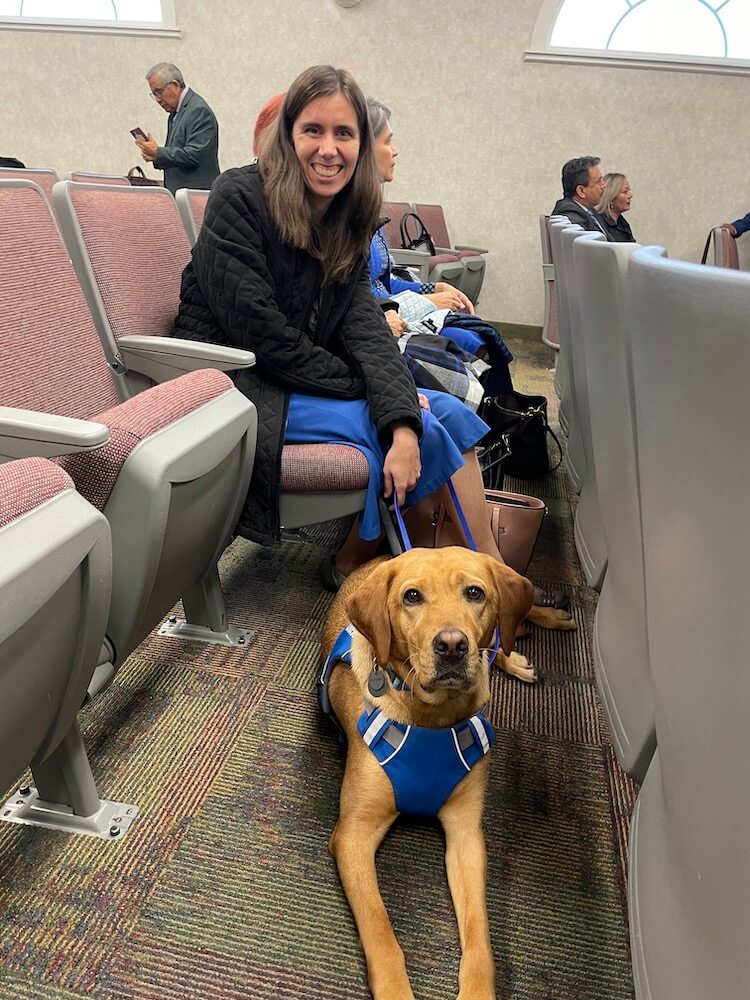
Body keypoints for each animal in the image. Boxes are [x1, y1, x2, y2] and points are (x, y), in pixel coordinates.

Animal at [320, 548, 536, 1000]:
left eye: (474, 592)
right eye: (412, 597)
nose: (452, 645)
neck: (433, 717)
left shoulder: (466, 833)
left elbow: (479, 935)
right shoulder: (353, 835)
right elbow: (380, 931)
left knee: (502, 640)